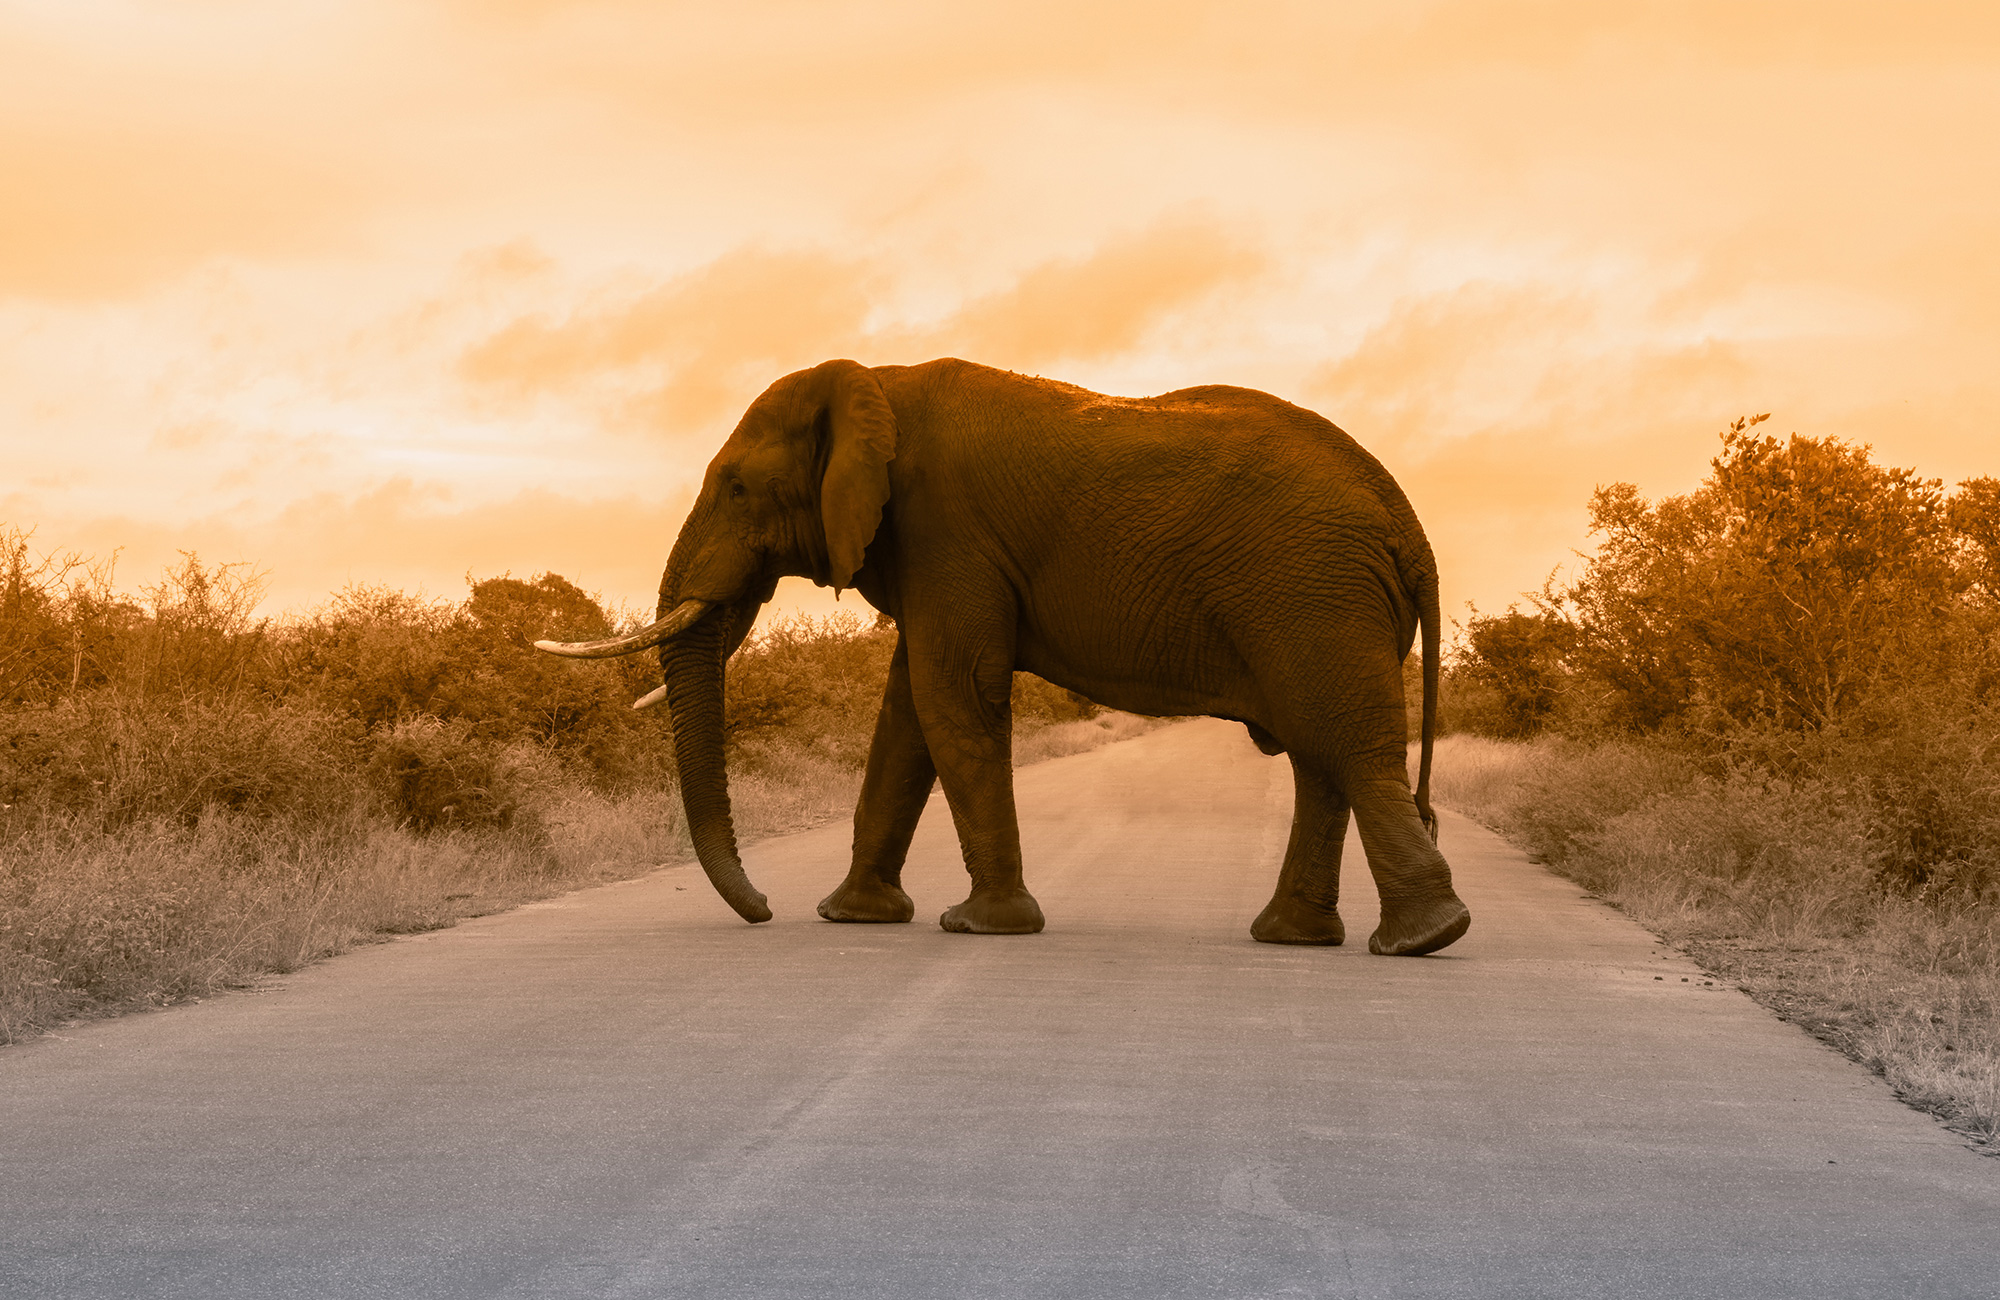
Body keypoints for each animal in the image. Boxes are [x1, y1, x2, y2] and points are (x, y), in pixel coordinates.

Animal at [537, 357, 1470, 956]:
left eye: (736, 488)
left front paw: (978, 926)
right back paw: (1299, 938)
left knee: (1344, 748)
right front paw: (853, 918)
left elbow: (951, 695)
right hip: (1321, 599)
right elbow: (907, 717)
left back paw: (1423, 940)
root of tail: (1409, 523)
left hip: (1313, 594)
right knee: (1322, 760)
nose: (763, 909)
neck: (876, 381)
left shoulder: (945, 528)